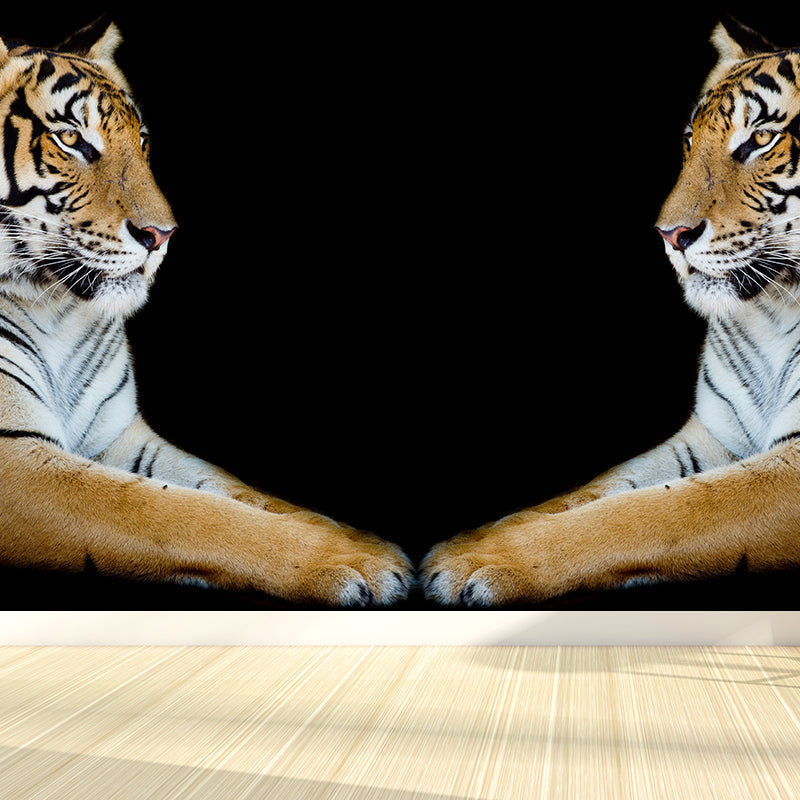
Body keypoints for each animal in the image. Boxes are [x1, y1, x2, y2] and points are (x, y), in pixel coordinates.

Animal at [0, 18, 413, 606]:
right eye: (71, 139)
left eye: (142, 139)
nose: (162, 236)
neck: (56, 308)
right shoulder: (16, 461)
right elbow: (179, 512)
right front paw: (354, 560)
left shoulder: (119, 435)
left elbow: (234, 489)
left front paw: (363, 541)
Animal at [421, 17, 800, 606]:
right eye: (690, 140)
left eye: (762, 138)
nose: (670, 236)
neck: (773, 312)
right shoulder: (713, 435)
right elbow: (598, 489)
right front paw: (468, 541)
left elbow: (658, 510)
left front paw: (478, 561)